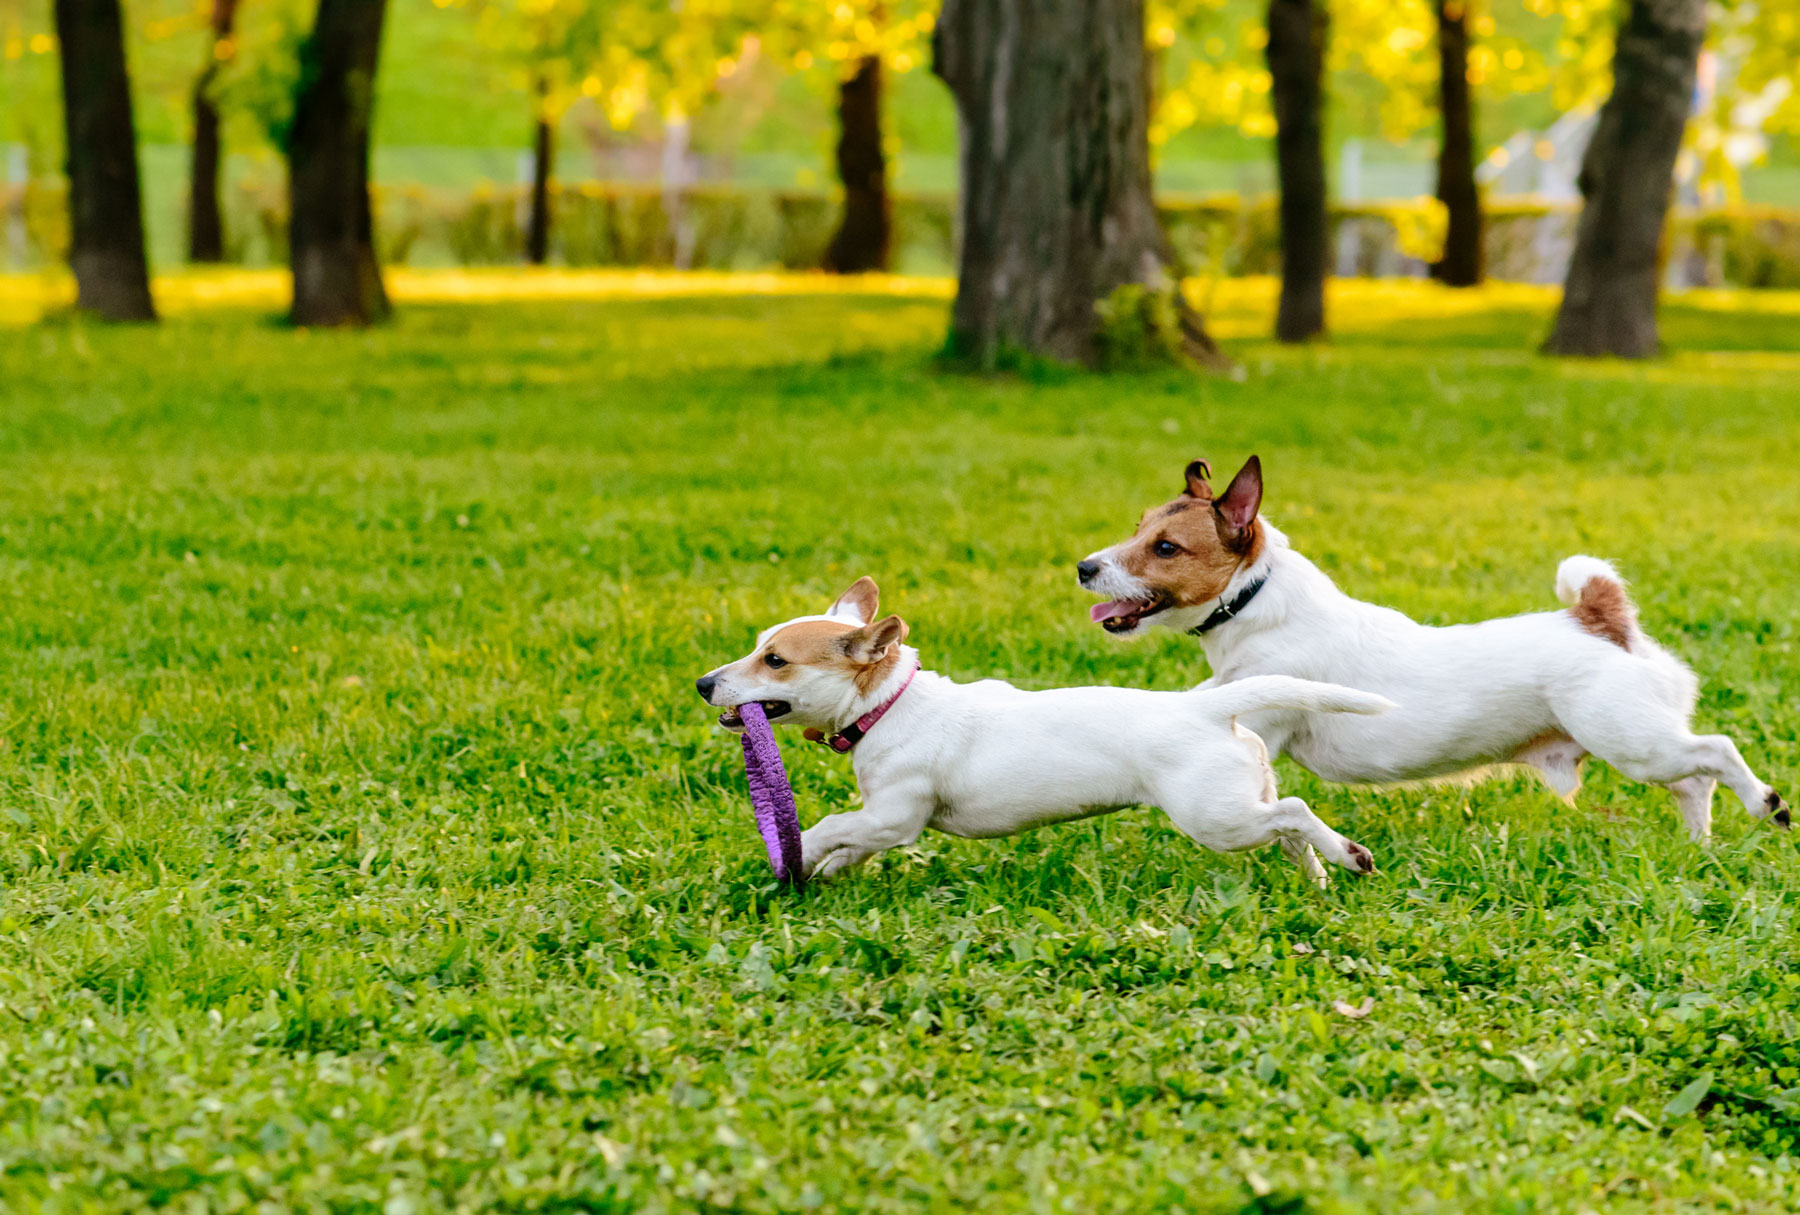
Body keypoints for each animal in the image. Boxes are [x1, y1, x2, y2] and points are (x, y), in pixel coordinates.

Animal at [694, 579, 1396, 885]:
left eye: (775, 661)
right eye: (758, 646)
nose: (703, 684)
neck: (889, 704)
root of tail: (1205, 710)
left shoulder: (896, 814)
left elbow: (834, 826)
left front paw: (800, 854)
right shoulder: (882, 823)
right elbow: (852, 843)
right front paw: (827, 872)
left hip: (1215, 817)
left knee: (1295, 811)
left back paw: (1347, 856)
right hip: (1240, 801)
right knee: (1286, 822)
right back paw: (1319, 875)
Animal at [1072, 451, 1778, 842]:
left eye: (1166, 548)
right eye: (1138, 527)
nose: (1083, 567)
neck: (1259, 603)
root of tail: (1599, 617)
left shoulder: (1265, 718)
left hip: (1632, 740)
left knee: (1716, 753)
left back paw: (1765, 804)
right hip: (1644, 745)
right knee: (1694, 782)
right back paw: (1698, 845)